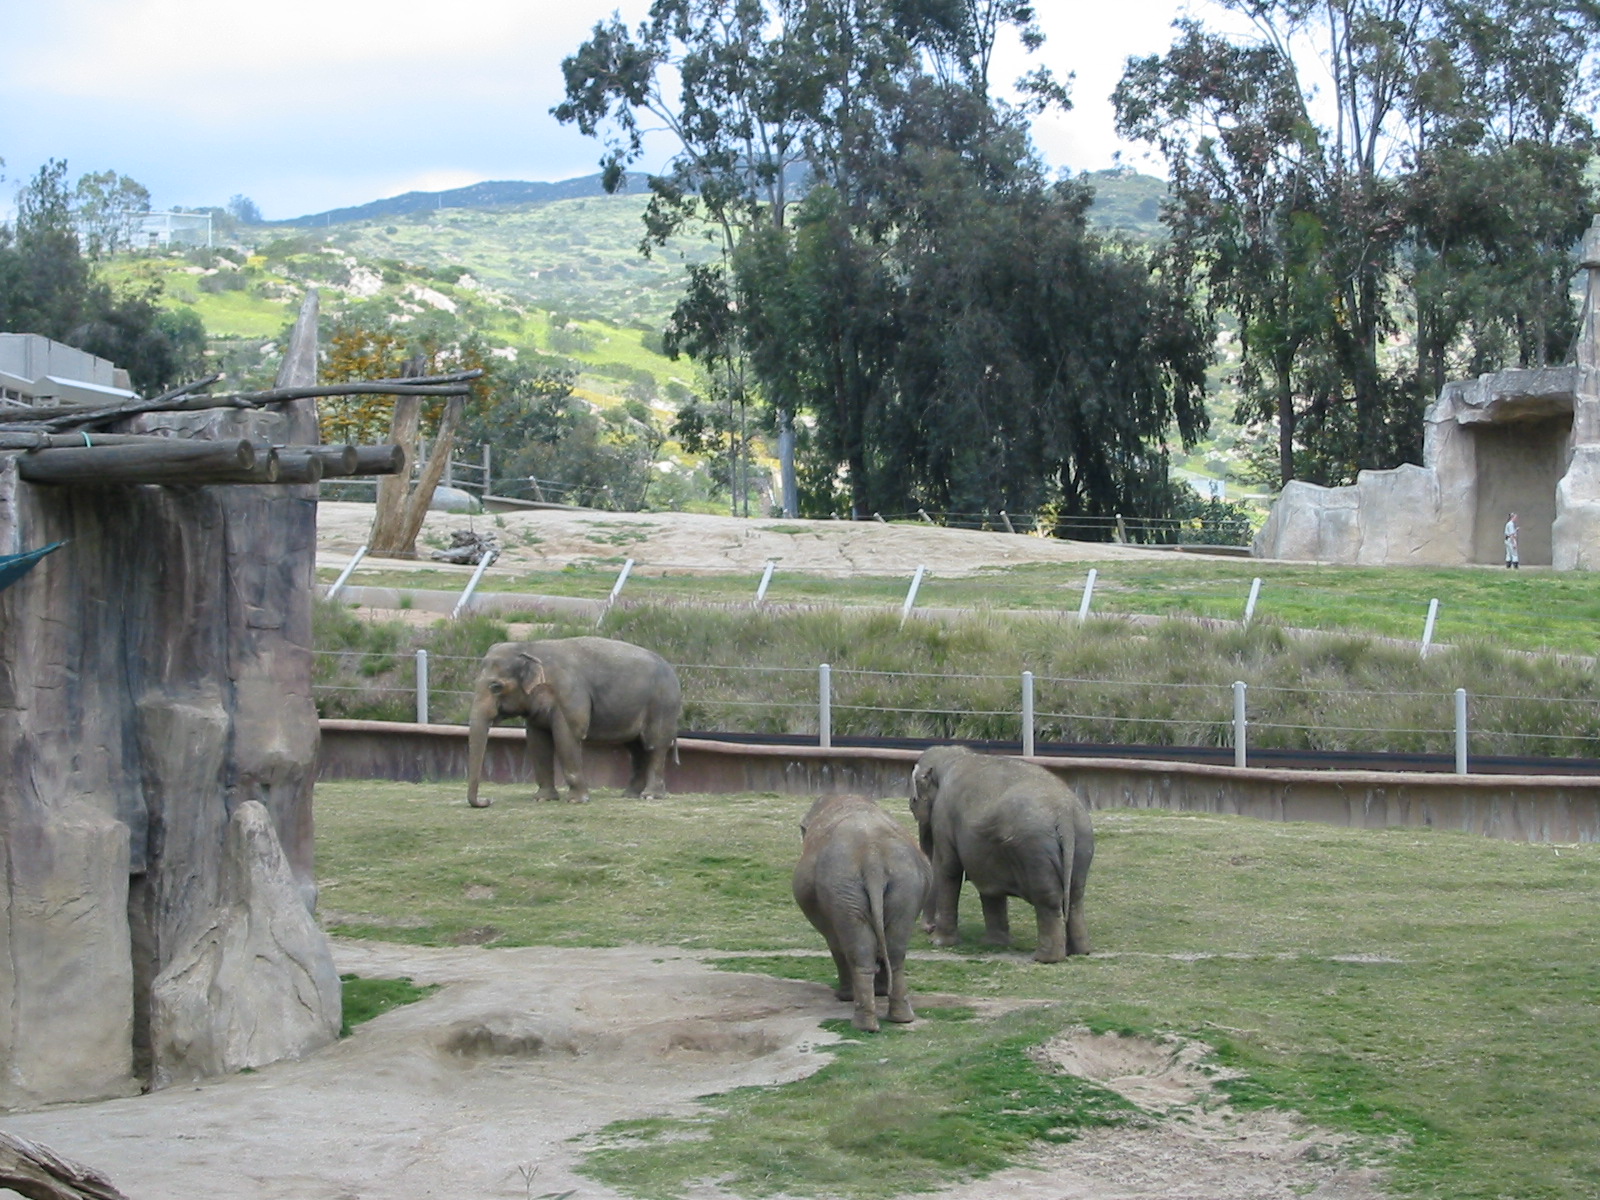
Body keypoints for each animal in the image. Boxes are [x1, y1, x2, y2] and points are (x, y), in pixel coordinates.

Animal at [465, 636, 682, 807]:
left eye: (496, 687)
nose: (487, 800)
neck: (530, 647)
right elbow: (537, 742)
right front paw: (542, 799)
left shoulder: (570, 695)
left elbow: (567, 736)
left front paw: (577, 801)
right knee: (636, 749)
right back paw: (630, 795)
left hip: (662, 705)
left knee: (655, 745)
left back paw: (650, 796)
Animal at [791, 793, 933, 1032]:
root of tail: (872, 856)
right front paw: (880, 992)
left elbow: (836, 943)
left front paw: (845, 996)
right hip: (904, 884)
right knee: (895, 951)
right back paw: (900, 1018)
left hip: (843, 887)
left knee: (856, 950)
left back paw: (862, 1024)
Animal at [909, 744, 1094, 963]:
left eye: (913, 802)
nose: (928, 928)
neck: (952, 756)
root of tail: (1064, 816)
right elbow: (989, 885)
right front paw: (994, 944)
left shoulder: (943, 816)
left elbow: (947, 868)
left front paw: (939, 943)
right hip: (1082, 842)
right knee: (1075, 896)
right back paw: (1080, 951)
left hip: (1035, 849)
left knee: (1048, 899)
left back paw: (1045, 958)